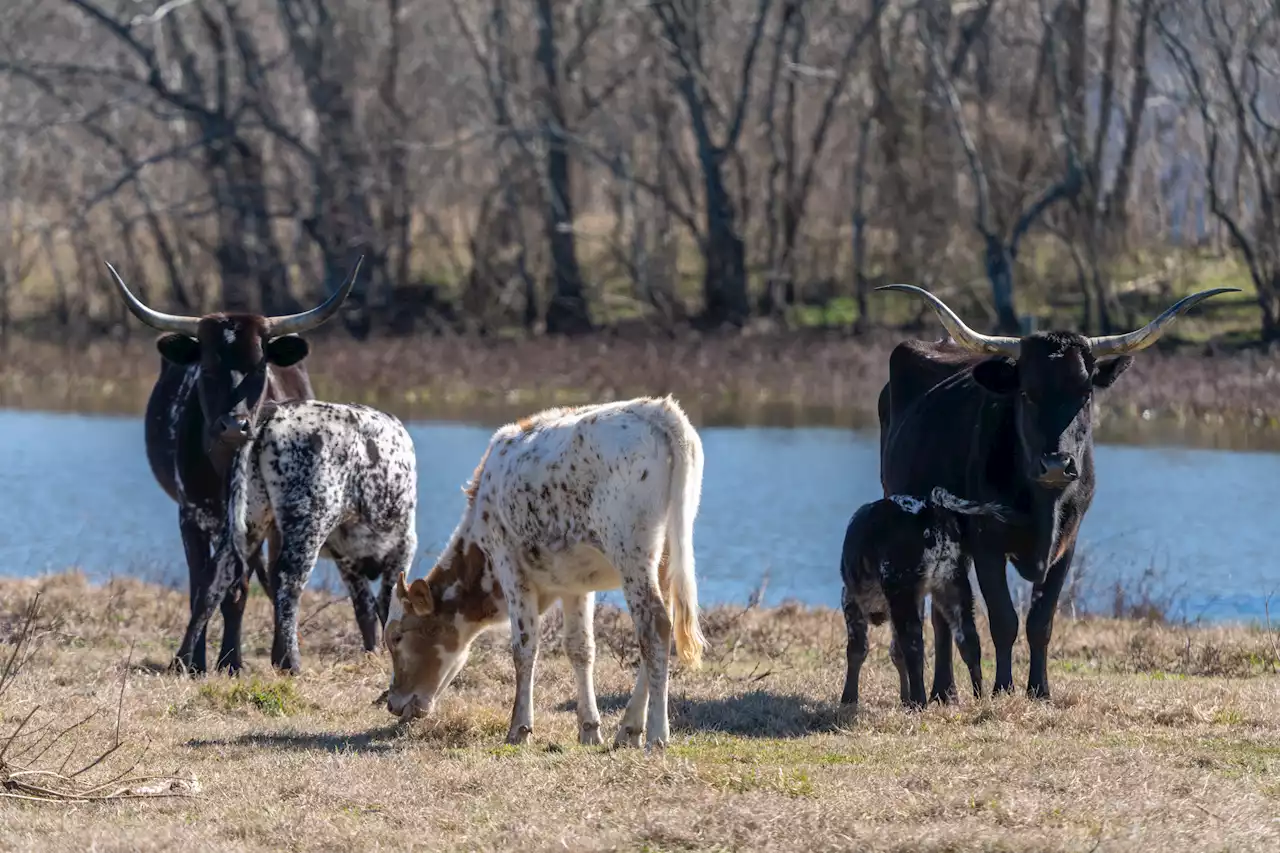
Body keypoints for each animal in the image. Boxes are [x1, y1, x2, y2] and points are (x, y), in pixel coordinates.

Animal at [104, 258, 366, 671]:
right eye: (208, 368)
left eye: (260, 368)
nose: (234, 425)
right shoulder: (190, 515)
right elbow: (201, 585)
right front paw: (194, 662)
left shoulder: (255, 522)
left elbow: (240, 588)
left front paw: (233, 661)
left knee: (272, 577)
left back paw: (279, 653)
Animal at [170, 397, 417, 671]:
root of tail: (275, 409)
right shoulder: (403, 546)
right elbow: (386, 602)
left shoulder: (347, 561)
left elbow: (365, 608)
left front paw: (372, 653)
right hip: (309, 522)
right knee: (287, 582)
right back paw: (291, 663)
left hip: (250, 519)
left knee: (215, 580)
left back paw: (183, 661)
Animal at [384, 394, 706, 747]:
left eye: (397, 637)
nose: (392, 703)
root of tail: (655, 409)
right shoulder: (575, 584)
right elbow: (580, 648)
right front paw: (589, 729)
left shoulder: (509, 566)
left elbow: (524, 648)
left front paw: (519, 728)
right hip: (666, 556)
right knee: (664, 627)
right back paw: (629, 730)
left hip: (630, 553)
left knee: (654, 625)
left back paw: (657, 735)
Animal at [839, 481, 1018, 706]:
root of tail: (931, 509)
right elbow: (894, 652)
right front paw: (903, 698)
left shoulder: (851, 599)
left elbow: (857, 649)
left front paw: (848, 699)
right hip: (953, 584)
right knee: (969, 639)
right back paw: (979, 697)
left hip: (901, 589)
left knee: (914, 645)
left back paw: (919, 702)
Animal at [875, 285, 1233, 696]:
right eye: (1027, 393)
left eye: (1085, 394)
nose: (1057, 465)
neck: (1043, 504)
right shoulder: (986, 545)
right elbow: (1004, 620)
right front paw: (1002, 689)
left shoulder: (1067, 544)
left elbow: (1040, 622)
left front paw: (1039, 690)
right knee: (937, 614)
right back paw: (937, 692)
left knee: (942, 611)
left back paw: (945, 692)